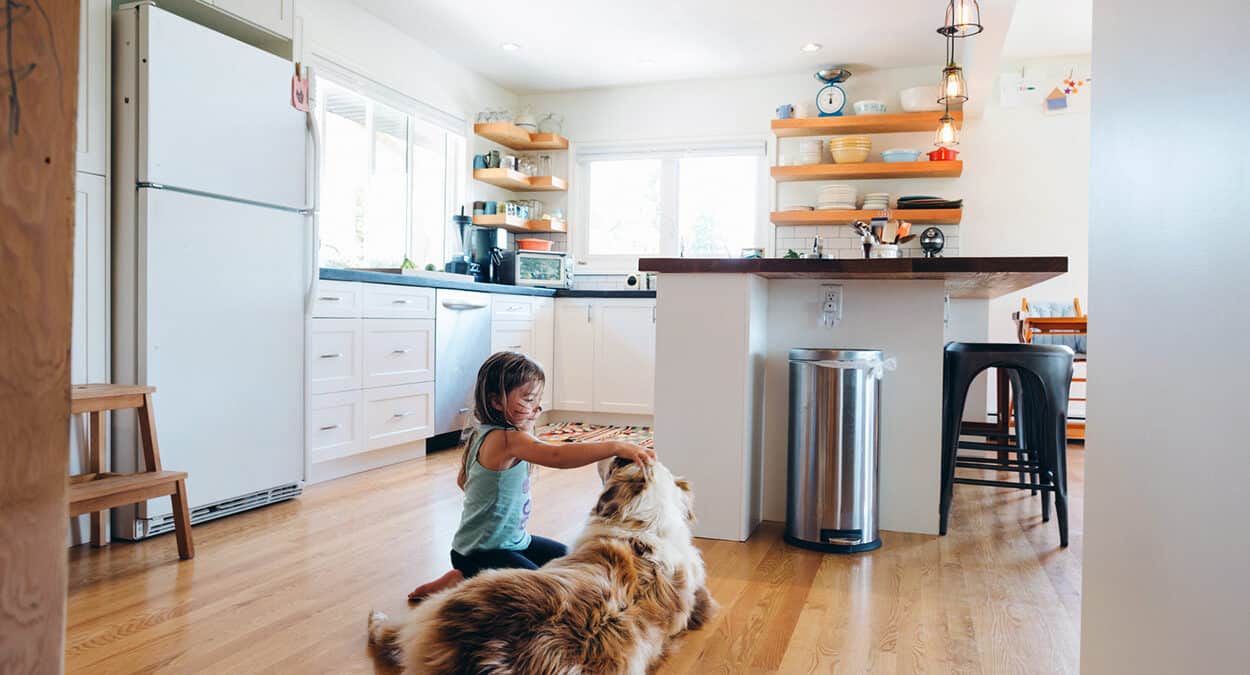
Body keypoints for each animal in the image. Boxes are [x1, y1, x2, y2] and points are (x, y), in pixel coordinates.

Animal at [365, 455, 715, 670]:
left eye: (617, 461)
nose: (612, 447)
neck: (647, 524)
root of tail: (494, 654)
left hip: (457, 596)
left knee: (391, 635)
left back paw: (379, 617)